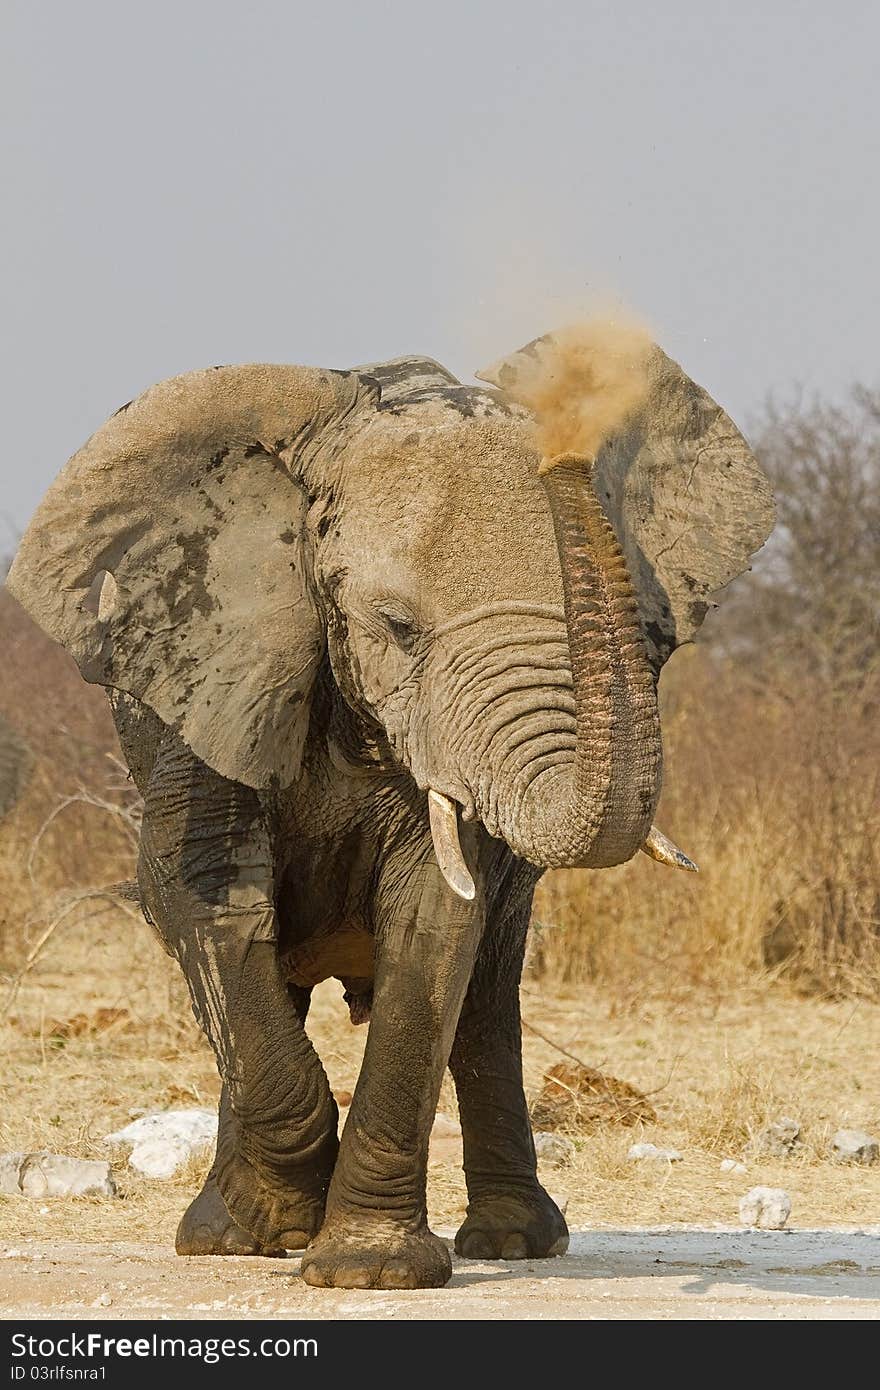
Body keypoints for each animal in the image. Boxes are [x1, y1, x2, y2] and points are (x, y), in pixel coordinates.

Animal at [8, 330, 767, 1284]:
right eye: (398, 627)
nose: (566, 445)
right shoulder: (209, 678)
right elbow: (209, 896)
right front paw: (291, 1222)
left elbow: (436, 918)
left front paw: (365, 1268)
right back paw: (231, 1234)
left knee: (486, 1001)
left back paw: (514, 1243)